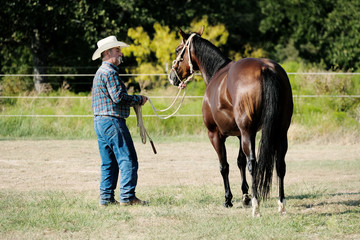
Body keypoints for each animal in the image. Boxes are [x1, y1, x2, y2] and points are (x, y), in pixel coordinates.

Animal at [169, 27, 292, 217]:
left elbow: (224, 166)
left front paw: (229, 199)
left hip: (249, 132)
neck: (217, 71)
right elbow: (239, 161)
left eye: (178, 50)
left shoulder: (216, 134)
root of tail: (266, 68)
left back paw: (256, 206)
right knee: (280, 164)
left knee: (252, 163)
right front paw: (245, 195)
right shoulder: (240, 134)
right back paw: (281, 204)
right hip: (280, 131)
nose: (172, 77)